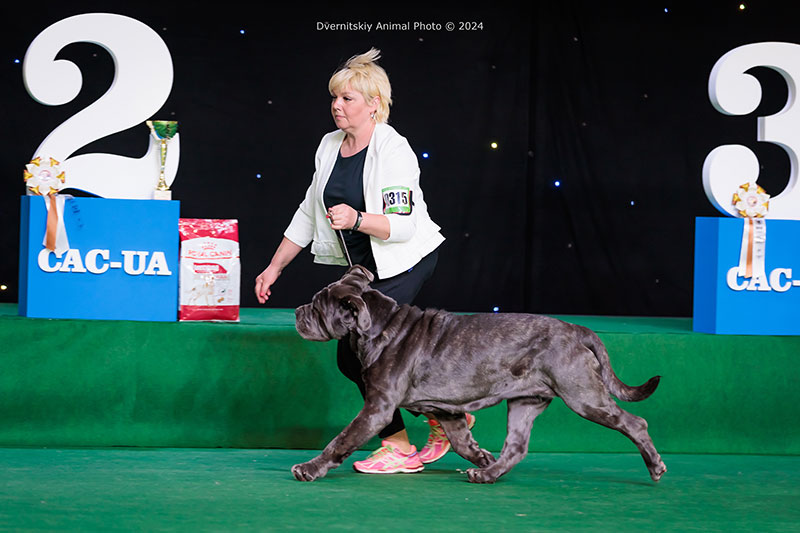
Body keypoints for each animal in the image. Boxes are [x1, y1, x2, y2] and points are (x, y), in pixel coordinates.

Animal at [292, 265, 666, 484]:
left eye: (317, 306)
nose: (297, 311)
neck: (380, 327)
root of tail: (578, 330)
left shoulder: (377, 408)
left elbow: (341, 440)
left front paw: (309, 468)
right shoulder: (447, 410)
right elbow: (461, 440)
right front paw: (481, 455)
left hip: (584, 396)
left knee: (635, 422)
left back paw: (655, 467)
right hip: (525, 402)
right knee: (516, 447)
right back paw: (487, 473)